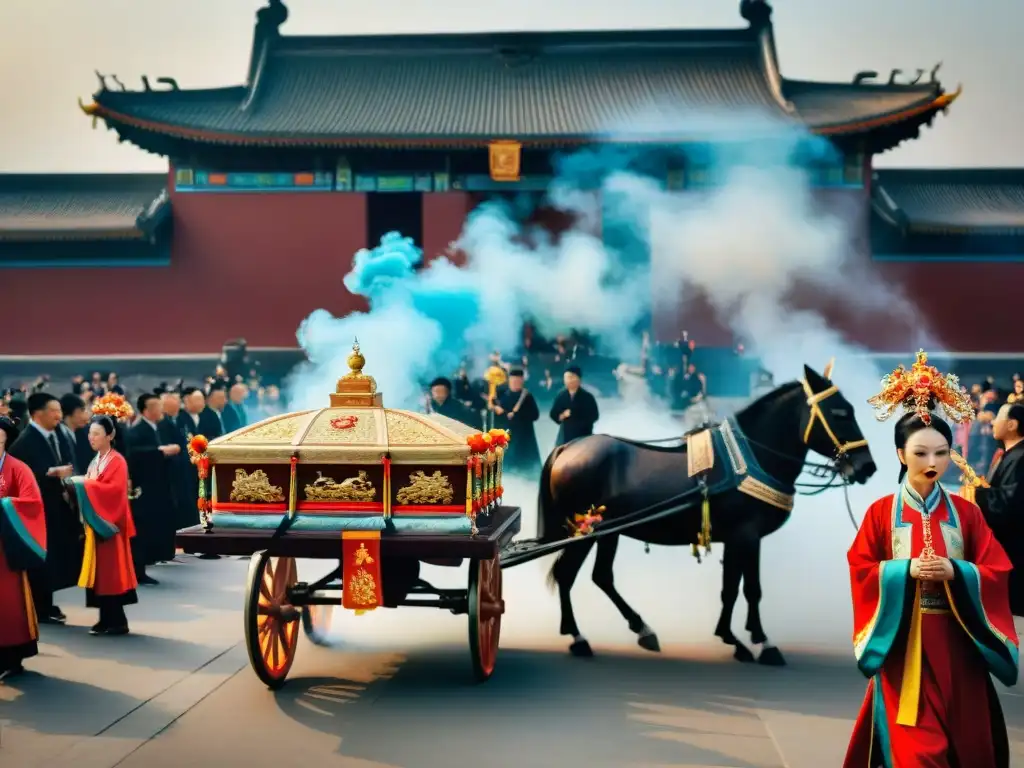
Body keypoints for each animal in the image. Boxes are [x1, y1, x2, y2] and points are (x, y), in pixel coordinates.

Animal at [536, 364, 880, 663]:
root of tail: (568, 447)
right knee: (567, 575)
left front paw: (732, 637)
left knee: (601, 577)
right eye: (840, 412)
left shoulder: (736, 538)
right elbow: (751, 589)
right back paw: (578, 637)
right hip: (586, 531)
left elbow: (730, 588)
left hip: (609, 531)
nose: (867, 466)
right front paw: (763, 642)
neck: (752, 458)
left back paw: (641, 628)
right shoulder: (748, 535)